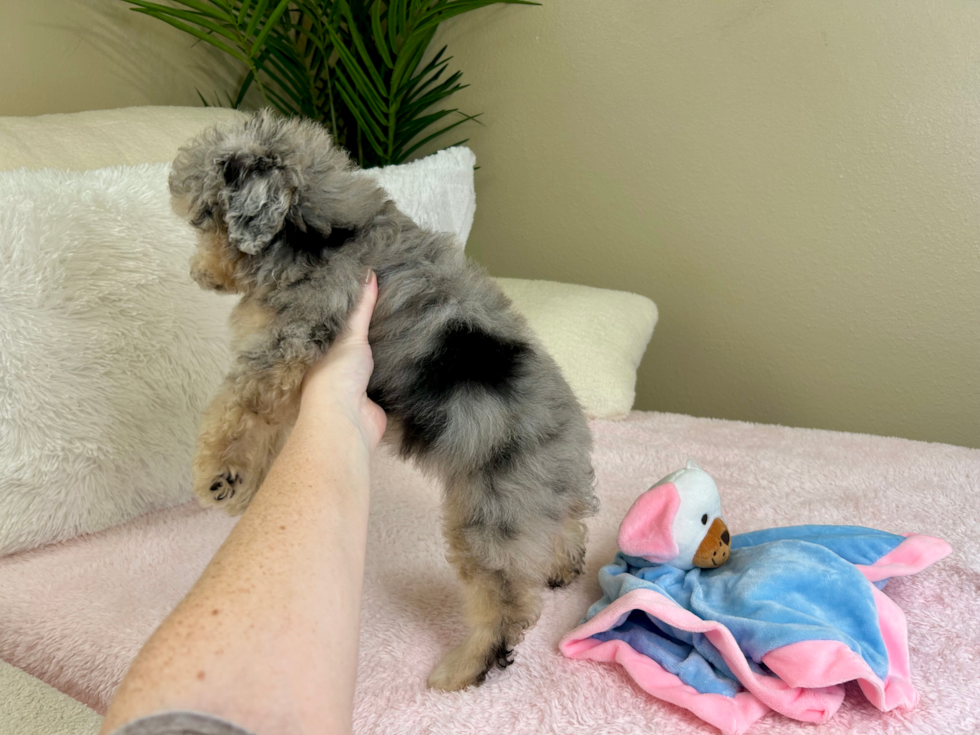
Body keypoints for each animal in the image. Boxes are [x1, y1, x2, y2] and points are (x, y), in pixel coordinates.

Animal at [169, 109, 596, 688]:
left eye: (201, 221)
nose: (198, 275)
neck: (324, 230)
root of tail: (573, 443)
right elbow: (272, 425)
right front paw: (245, 487)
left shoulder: (290, 341)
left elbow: (241, 412)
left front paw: (221, 475)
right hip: (533, 508)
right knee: (565, 529)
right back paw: (560, 565)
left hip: (493, 516)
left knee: (506, 602)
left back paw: (462, 669)